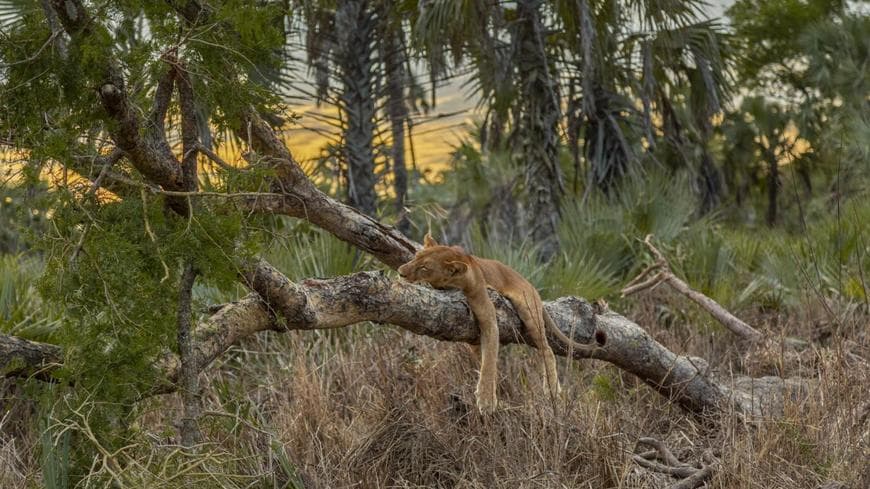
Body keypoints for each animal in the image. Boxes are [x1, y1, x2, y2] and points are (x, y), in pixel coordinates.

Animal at [400, 233, 608, 412]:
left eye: (424, 268)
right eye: (415, 257)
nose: (400, 272)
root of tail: (530, 284)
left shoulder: (488, 315)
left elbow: (490, 360)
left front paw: (486, 400)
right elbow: (484, 358)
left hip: (528, 310)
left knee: (546, 349)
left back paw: (552, 389)